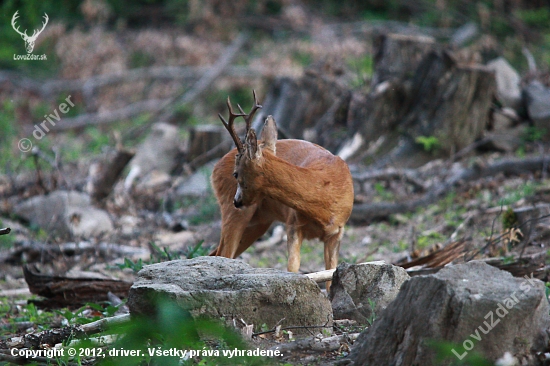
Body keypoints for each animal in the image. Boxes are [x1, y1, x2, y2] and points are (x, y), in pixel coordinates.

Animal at [209, 91, 356, 286]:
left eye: (236, 173)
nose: (237, 200)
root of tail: (215, 168)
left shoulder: (337, 232)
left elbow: (330, 276)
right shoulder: (293, 223)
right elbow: (292, 269)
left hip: (258, 222)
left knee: (216, 253)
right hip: (235, 213)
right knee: (223, 254)